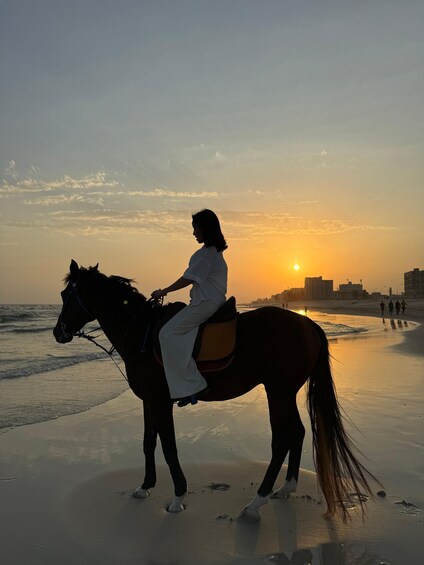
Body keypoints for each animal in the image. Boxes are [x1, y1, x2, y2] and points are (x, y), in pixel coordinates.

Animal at [53, 262, 378, 524]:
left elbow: (168, 447)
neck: (140, 332)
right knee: (296, 432)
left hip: (277, 391)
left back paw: (255, 504)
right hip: (284, 391)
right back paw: (285, 488)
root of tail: (308, 324)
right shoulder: (149, 400)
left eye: (67, 296)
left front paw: (178, 497)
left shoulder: (161, 401)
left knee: (281, 439)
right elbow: (149, 443)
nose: (58, 332)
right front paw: (145, 487)